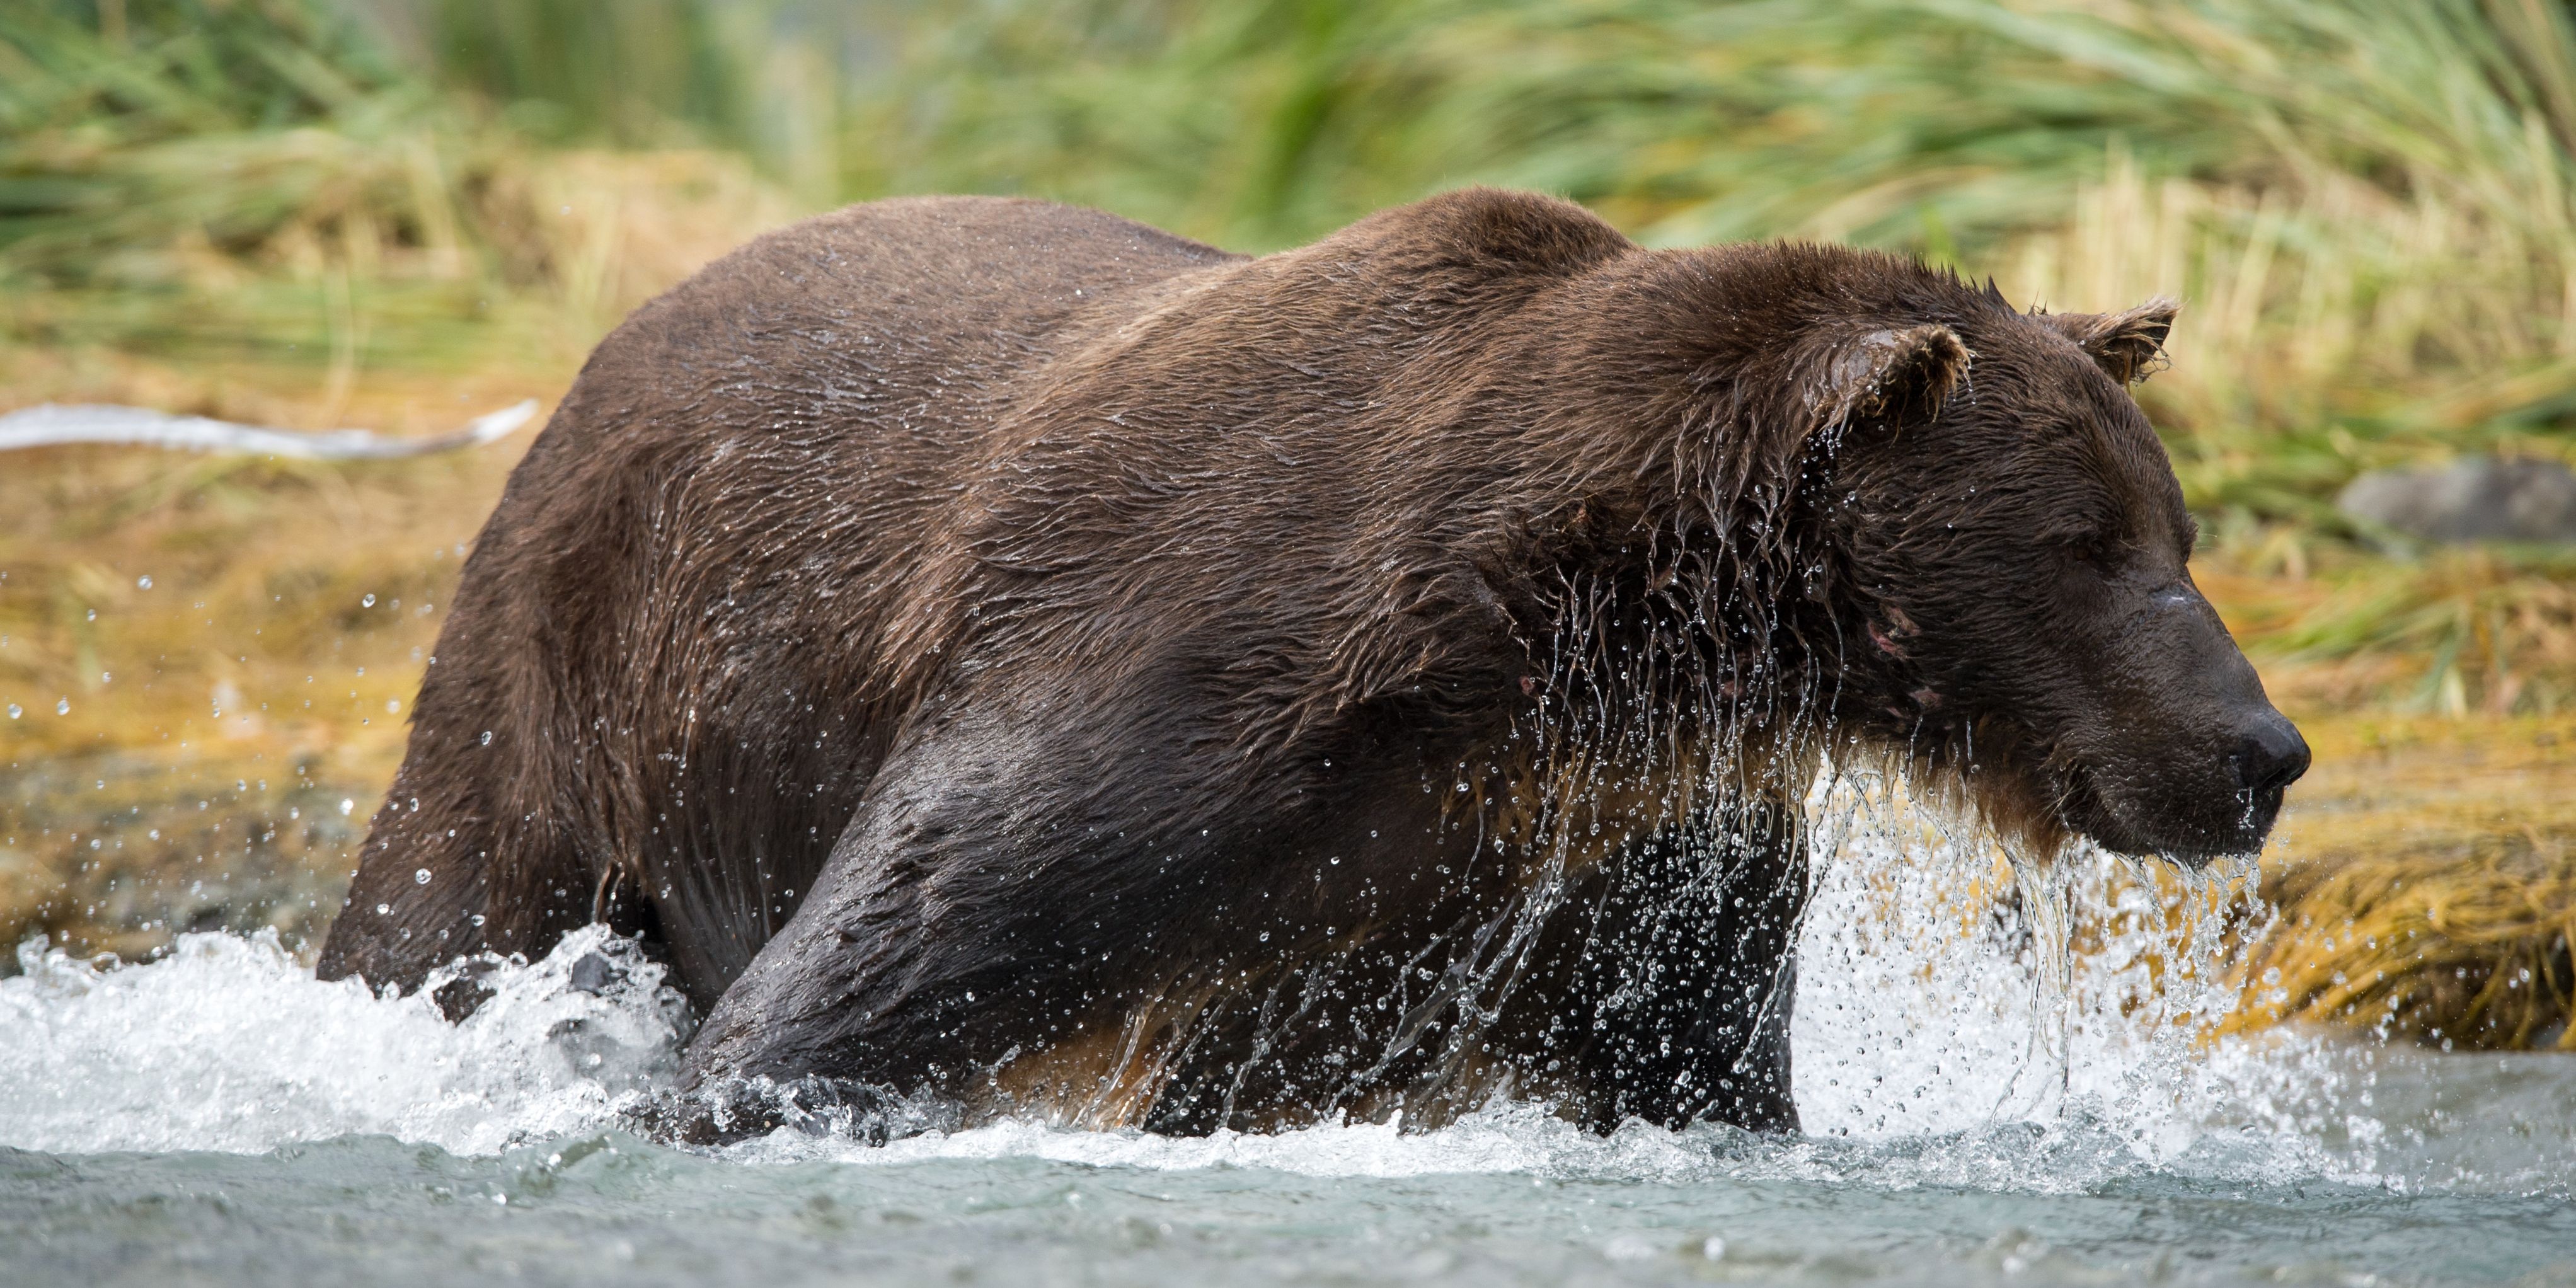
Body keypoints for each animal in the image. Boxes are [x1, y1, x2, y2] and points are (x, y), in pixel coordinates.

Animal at [314, 189, 2308, 1136]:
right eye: (2087, 547)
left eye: (2177, 531)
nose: (2261, 749)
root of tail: (613, 340)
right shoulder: (1171, 678)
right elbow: (881, 974)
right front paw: (729, 1091)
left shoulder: (1618, 832)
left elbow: (1696, 1061)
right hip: (577, 660)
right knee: (442, 904)